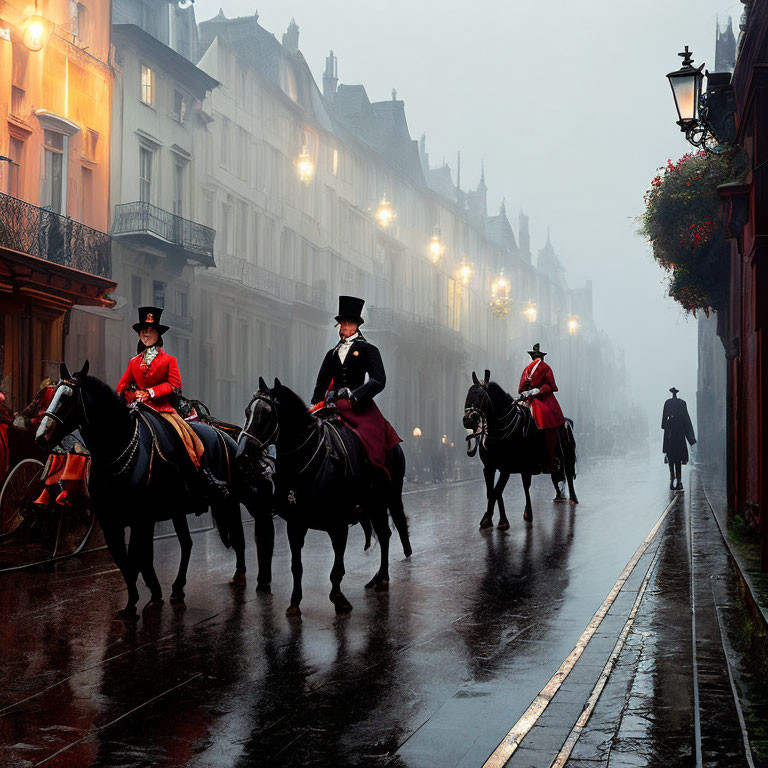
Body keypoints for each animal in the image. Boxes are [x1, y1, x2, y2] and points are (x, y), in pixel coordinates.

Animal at [36, 364, 276, 620]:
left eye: (67, 398)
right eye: (52, 395)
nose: (41, 436)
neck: (118, 448)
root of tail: (229, 437)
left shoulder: (141, 518)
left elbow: (138, 559)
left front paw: (141, 602)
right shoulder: (113, 522)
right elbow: (128, 561)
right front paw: (144, 599)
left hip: (240, 497)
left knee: (251, 527)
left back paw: (250, 576)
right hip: (197, 507)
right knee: (192, 543)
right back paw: (181, 588)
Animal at [238, 380, 408, 616]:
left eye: (267, 414)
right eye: (248, 412)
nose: (242, 455)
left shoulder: (339, 523)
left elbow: (337, 568)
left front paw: (338, 599)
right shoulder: (295, 523)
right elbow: (297, 566)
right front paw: (295, 602)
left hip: (386, 498)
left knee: (385, 534)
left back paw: (382, 577)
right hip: (374, 505)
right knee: (384, 534)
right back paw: (379, 577)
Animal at [462, 372, 576, 528]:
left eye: (480, 396)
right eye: (468, 394)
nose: (467, 420)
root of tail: (566, 421)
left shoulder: (506, 468)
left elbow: (496, 491)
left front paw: (495, 520)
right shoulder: (489, 468)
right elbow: (492, 492)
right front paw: (494, 519)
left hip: (567, 456)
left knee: (568, 475)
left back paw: (572, 498)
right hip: (526, 466)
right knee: (528, 485)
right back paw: (531, 510)